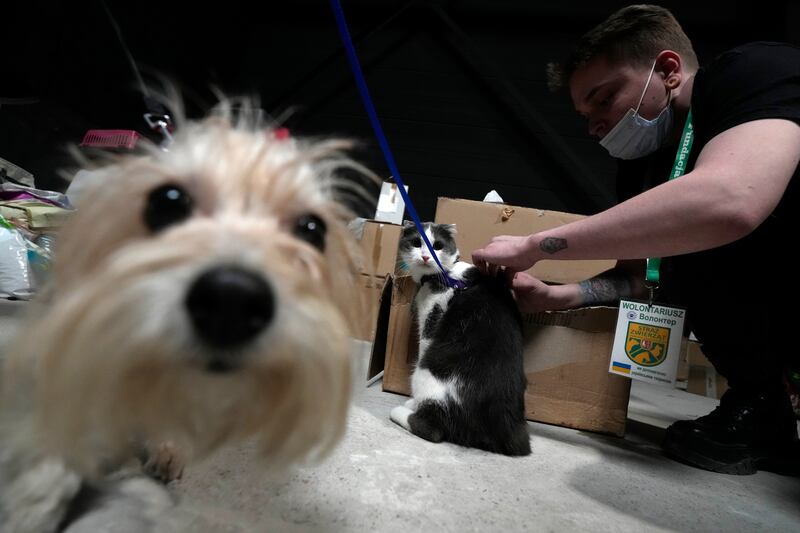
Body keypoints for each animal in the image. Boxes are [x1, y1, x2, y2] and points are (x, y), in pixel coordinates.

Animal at [390, 222, 532, 456]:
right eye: (416, 242)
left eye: (437, 245)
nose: (425, 256)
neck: (446, 275)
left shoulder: (431, 318)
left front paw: (412, 403)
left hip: (427, 372)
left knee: (432, 429)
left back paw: (402, 410)